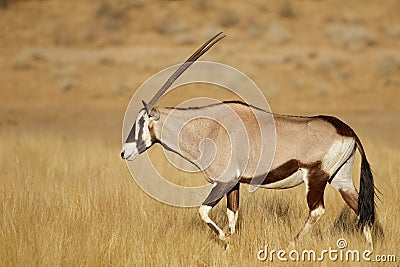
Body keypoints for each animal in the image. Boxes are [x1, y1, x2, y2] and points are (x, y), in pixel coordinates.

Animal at [120, 32, 376, 250]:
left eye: (141, 121)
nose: (124, 152)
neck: (210, 127)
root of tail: (347, 130)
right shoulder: (234, 184)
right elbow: (232, 214)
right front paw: (230, 245)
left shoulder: (223, 181)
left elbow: (203, 211)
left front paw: (225, 240)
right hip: (340, 178)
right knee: (360, 208)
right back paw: (370, 250)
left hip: (316, 177)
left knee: (318, 211)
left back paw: (291, 245)